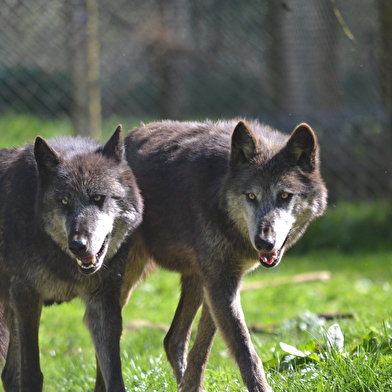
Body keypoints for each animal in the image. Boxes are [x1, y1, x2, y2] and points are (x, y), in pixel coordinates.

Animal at [0, 126, 144, 392]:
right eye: (64, 201)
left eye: (98, 198)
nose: (78, 246)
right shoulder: (26, 297)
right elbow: (32, 374)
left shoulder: (104, 302)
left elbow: (114, 377)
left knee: (9, 374)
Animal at [123, 120, 328, 392]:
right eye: (251, 196)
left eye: (284, 196)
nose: (264, 243)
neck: (219, 188)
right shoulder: (220, 282)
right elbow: (244, 349)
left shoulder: (220, 280)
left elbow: (202, 350)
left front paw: (192, 387)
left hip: (196, 280)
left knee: (173, 339)